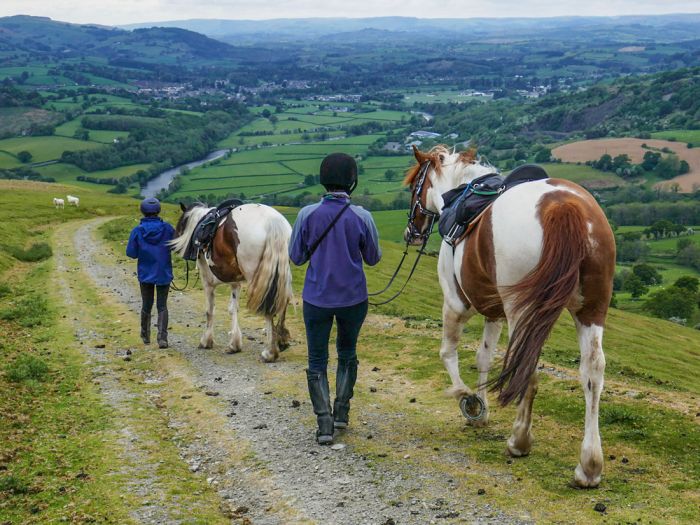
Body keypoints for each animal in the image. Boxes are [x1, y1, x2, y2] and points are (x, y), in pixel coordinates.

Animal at [172, 203, 292, 362]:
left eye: (181, 224)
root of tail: (273, 221)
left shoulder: (207, 281)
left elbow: (209, 310)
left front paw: (206, 341)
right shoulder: (235, 282)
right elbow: (233, 309)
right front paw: (234, 344)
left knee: (268, 308)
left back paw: (270, 352)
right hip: (282, 274)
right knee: (283, 303)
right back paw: (281, 341)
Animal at [408, 144, 616, 488]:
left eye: (414, 186)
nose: (411, 231)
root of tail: (564, 206)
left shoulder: (455, 304)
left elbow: (448, 353)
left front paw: (470, 402)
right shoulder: (494, 313)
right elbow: (483, 357)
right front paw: (482, 409)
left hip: (524, 310)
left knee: (526, 368)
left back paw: (519, 441)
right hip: (591, 309)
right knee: (593, 371)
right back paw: (589, 466)